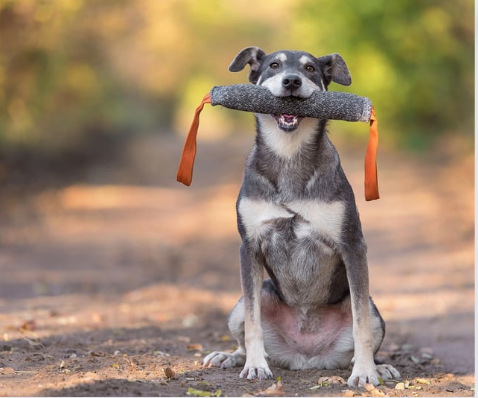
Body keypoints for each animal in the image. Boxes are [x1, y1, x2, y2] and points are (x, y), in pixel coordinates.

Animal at [202, 46, 400, 388]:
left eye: (310, 69)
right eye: (274, 65)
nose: (292, 81)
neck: (289, 155)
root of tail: (306, 357)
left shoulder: (353, 246)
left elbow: (360, 326)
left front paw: (364, 372)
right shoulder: (249, 247)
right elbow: (253, 324)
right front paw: (255, 366)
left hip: (374, 309)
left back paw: (379, 366)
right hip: (247, 300)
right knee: (244, 331)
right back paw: (231, 357)